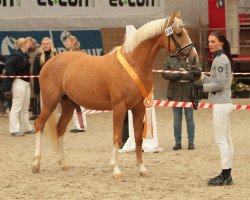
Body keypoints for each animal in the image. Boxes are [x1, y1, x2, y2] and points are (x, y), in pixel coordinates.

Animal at [31, 11, 199, 178]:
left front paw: (142, 168)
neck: (133, 63)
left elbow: (138, 138)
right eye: (179, 33)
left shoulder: (139, 108)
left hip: (68, 105)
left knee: (60, 129)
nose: (194, 58)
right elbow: (117, 137)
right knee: (39, 125)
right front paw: (116, 169)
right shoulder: (119, 108)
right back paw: (36, 164)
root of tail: (49, 63)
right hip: (50, 102)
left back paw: (63, 163)